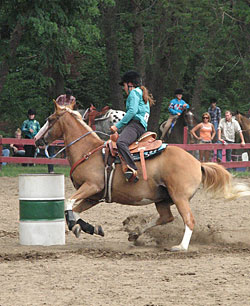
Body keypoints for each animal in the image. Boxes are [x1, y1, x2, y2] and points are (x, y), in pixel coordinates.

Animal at [35, 102, 250, 251]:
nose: (37, 140)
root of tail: (198, 163)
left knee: (188, 220)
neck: (88, 151)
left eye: (50, 119)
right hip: (163, 199)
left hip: (179, 197)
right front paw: (89, 228)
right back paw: (135, 234)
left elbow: (68, 203)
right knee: (166, 217)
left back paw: (180, 247)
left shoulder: (92, 187)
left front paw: (76, 226)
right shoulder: (94, 196)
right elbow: (75, 210)